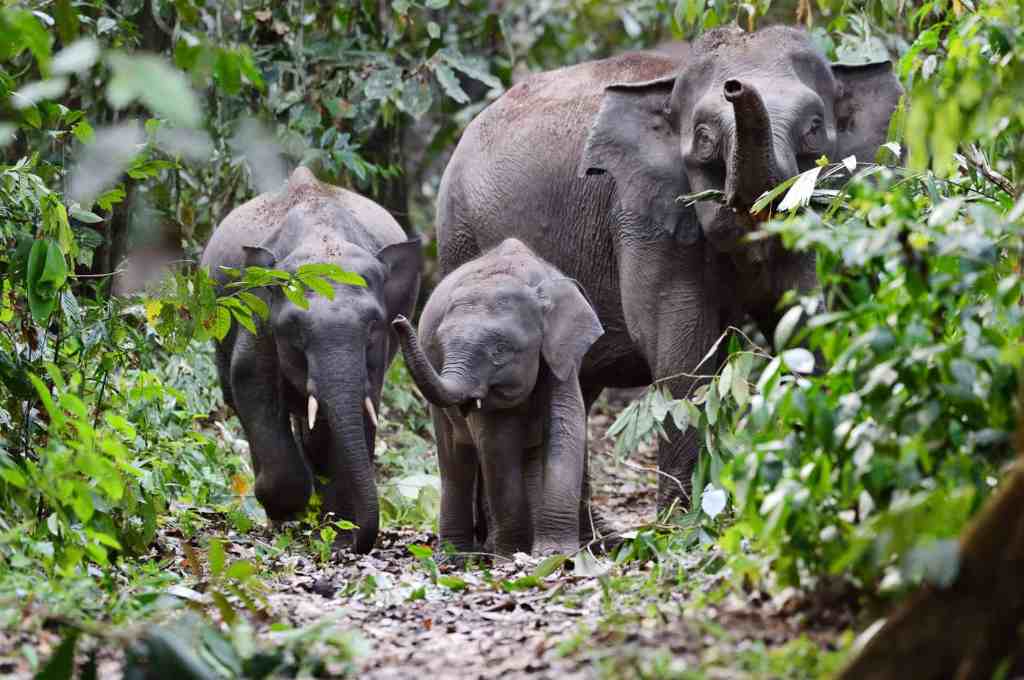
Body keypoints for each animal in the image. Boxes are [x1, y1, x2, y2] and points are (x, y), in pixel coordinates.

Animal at [200, 166, 422, 553]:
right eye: (293, 328)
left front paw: (337, 531)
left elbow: (361, 406)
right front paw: (289, 515)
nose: (356, 543)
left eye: (374, 325)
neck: (322, 235)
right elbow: (250, 381)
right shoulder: (257, 313)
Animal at [391, 239, 604, 556]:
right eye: (440, 344)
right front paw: (511, 555)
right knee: (455, 459)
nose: (399, 320)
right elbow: (497, 444)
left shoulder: (562, 357)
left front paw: (553, 555)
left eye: (500, 350)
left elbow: (567, 428)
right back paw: (456, 556)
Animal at [435, 25, 903, 513]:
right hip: (460, 236)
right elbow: (679, 350)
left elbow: (803, 324)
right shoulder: (642, 212)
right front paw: (683, 521)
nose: (735, 86)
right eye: (704, 136)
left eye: (813, 129)